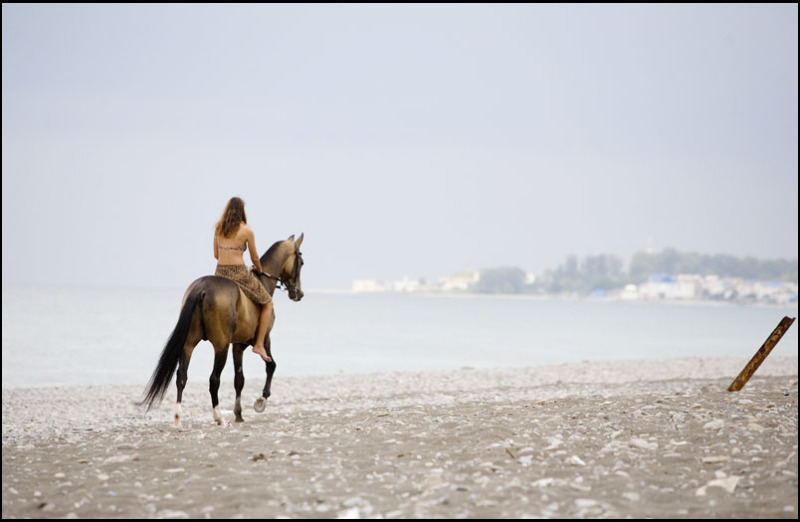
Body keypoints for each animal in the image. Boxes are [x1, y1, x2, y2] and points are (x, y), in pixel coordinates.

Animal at [138, 232, 304, 422]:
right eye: (301, 262)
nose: (299, 293)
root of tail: (202, 288)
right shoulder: (263, 340)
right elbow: (271, 366)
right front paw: (261, 400)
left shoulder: (237, 346)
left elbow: (239, 379)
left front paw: (239, 414)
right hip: (221, 346)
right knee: (214, 379)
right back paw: (217, 416)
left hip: (189, 344)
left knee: (182, 376)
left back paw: (178, 416)